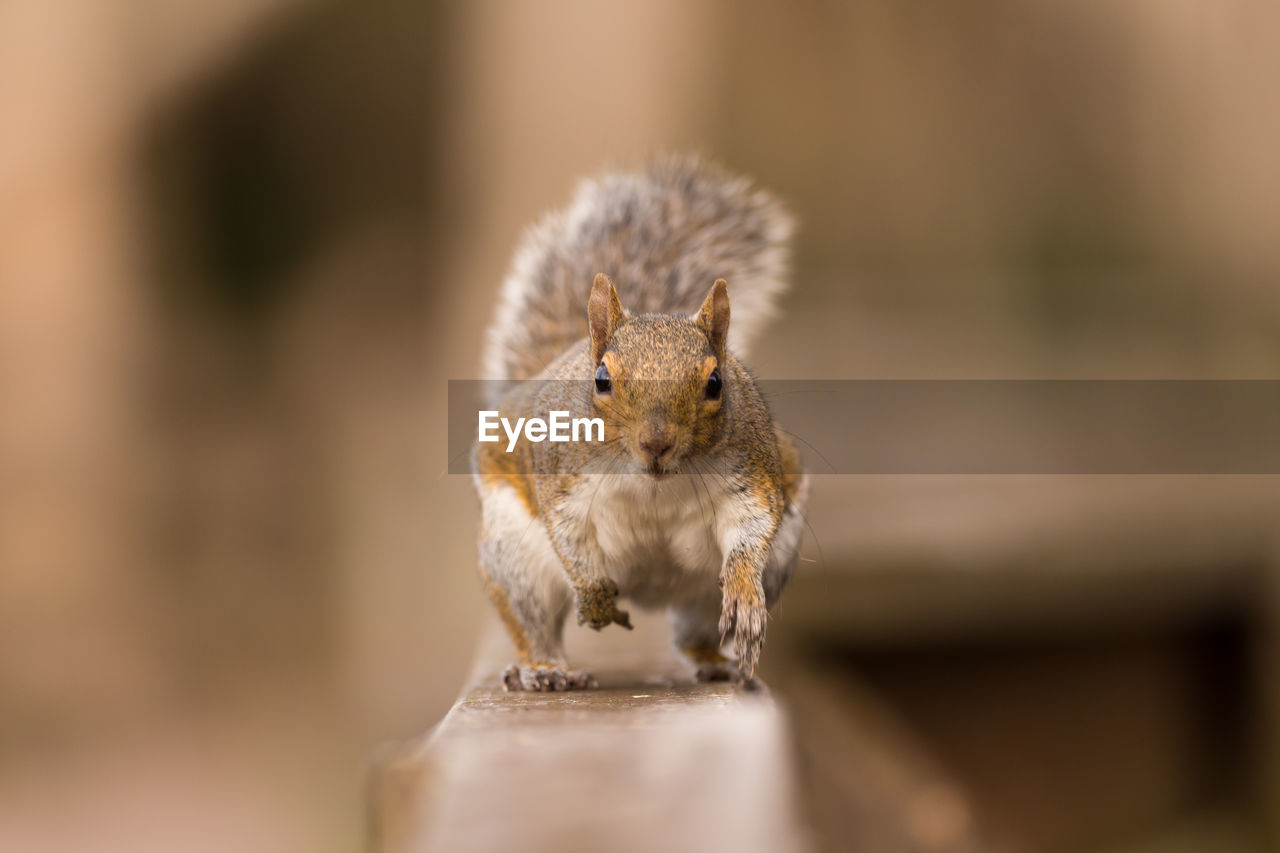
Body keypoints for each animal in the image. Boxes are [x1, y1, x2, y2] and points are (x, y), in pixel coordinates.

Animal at [471, 154, 808, 691]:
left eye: (716, 383)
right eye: (602, 380)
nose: (656, 443)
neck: (655, 482)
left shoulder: (752, 472)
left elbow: (752, 530)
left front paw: (745, 594)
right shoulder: (560, 477)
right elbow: (569, 536)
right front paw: (594, 598)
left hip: (720, 587)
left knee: (695, 632)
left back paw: (718, 662)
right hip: (513, 556)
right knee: (533, 621)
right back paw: (545, 668)